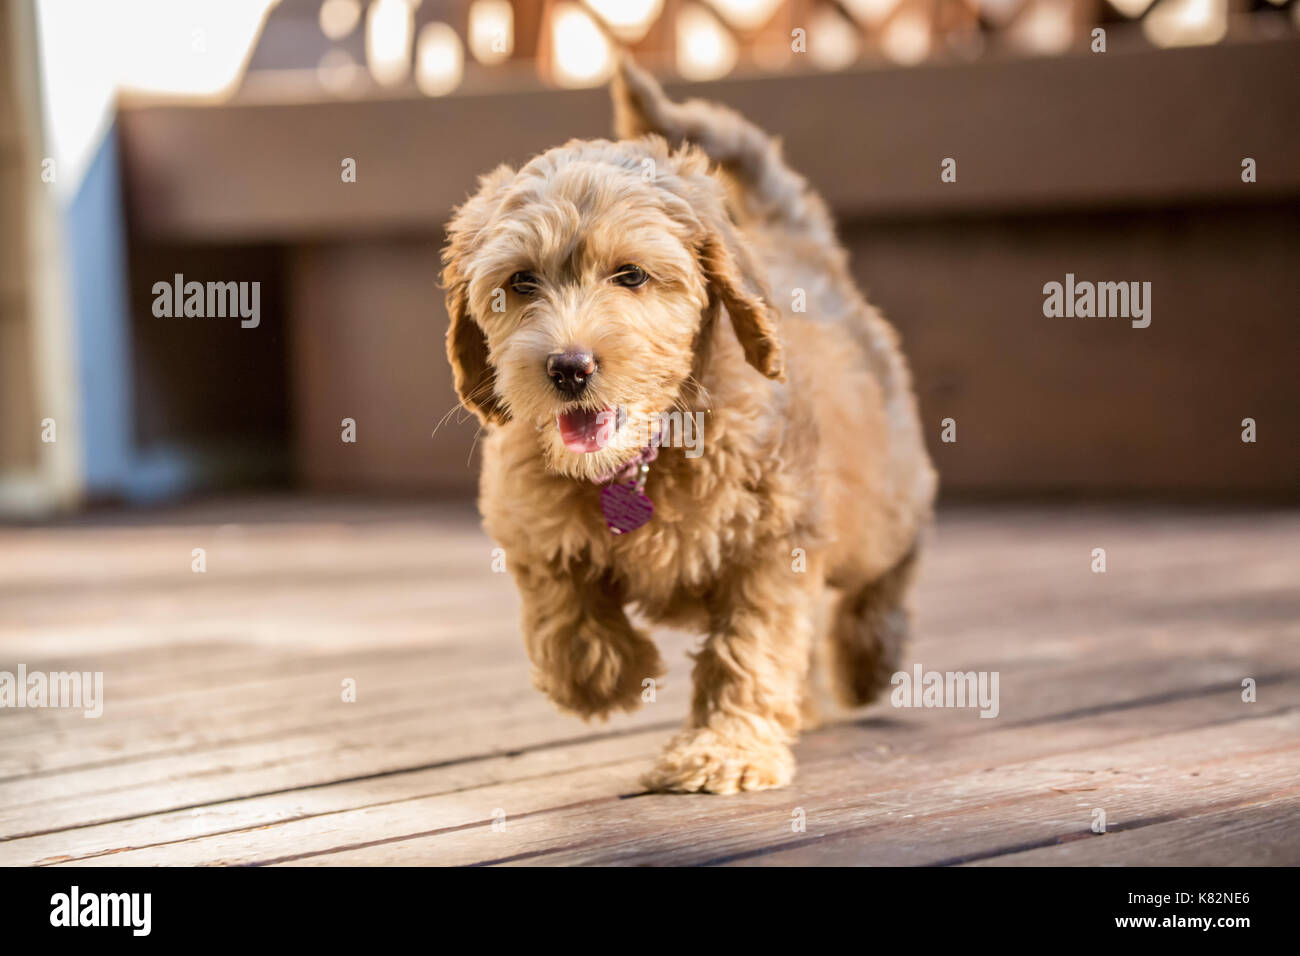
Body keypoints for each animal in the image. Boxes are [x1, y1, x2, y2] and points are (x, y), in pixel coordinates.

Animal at [447, 61, 935, 790]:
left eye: (631, 276)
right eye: (522, 282)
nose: (568, 367)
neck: (645, 457)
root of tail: (800, 242)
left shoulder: (777, 540)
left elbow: (750, 646)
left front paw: (724, 749)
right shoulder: (528, 521)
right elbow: (563, 615)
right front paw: (609, 676)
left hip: (880, 501)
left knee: (895, 555)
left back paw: (868, 659)